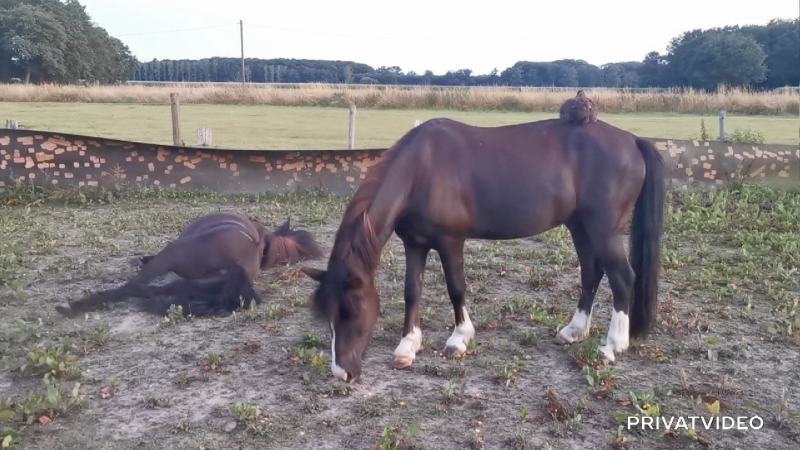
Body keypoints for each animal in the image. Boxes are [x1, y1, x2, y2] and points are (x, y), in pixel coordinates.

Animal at [300, 106, 664, 384]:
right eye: (327, 315)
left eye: (351, 311)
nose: (342, 373)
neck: (420, 170)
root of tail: (632, 140)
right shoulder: (414, 244)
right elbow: (411, 291)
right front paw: (407, 346)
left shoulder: (450, 242)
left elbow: (456, 288)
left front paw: (458, 339)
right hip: (580, 226)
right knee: (591, 272)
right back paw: (574, 331)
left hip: (604, 229)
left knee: (622, 278)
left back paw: (612, 346)